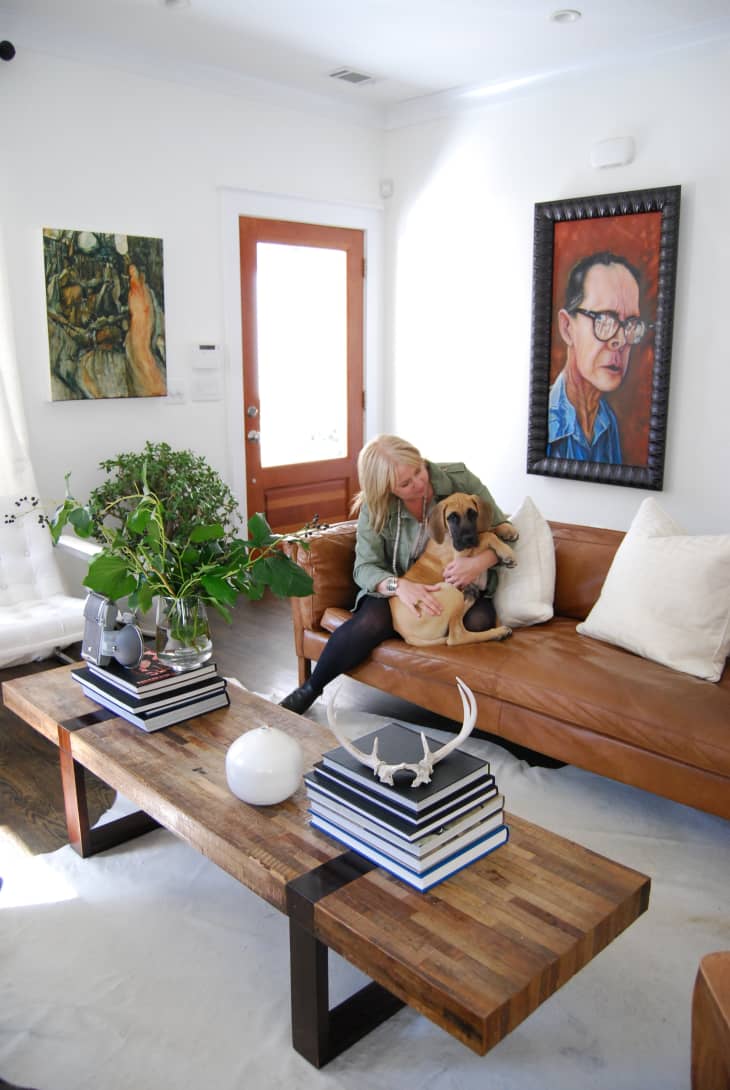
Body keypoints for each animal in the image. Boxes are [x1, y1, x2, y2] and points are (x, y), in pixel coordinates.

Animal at [392, 494, 518, 645]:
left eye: (473, 514)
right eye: (452, 517)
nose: (468, 539)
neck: (448, 536)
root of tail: (406, 636)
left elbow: (485, 530)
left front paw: (507, 529)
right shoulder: (459, 561)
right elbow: (485, 535)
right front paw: (507, 553)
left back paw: (470, 595)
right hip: (450, 590)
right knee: (455, 636)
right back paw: (498, 632)